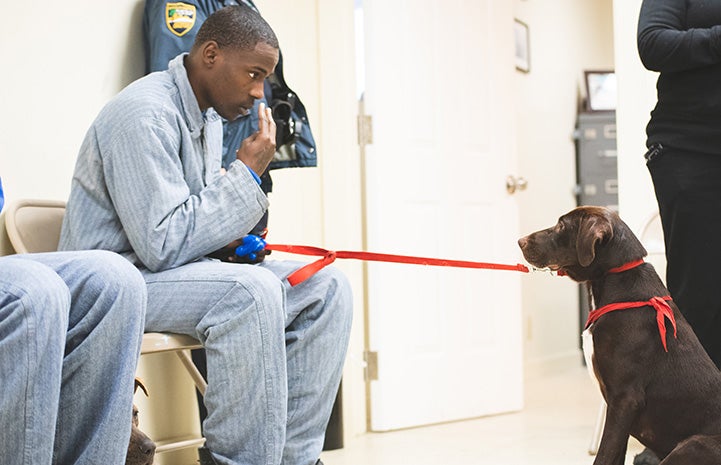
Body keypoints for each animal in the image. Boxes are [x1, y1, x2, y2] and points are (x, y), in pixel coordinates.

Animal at [520, 207, 721, 464]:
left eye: (562, 226)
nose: (520, 241)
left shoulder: (625, 400)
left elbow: (604, 454)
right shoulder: (619, 410)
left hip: (694, 444)